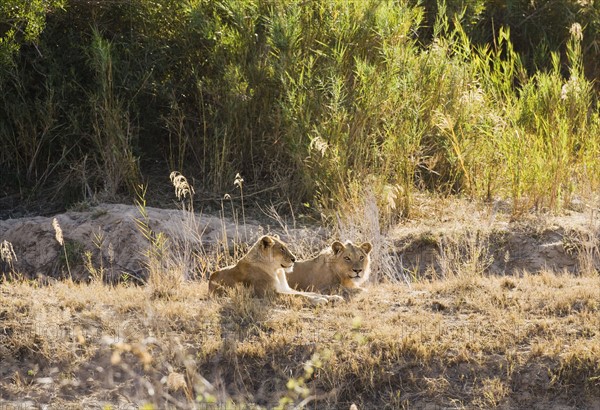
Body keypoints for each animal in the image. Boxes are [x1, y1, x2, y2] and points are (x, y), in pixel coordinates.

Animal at [210, 234, 342, 304]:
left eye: (286, 247)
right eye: (281, 249)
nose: (294, 259)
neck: (276, 271)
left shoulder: (285, 288)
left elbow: (308, 293)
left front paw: (332, 297)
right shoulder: (268, 294)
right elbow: (299, 296)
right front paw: (319, 300)